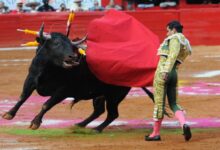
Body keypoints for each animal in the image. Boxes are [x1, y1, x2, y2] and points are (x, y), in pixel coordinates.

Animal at [1, 31, 154, 132]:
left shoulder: (62, 91)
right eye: (56, 43)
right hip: (100, 94)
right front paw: (9, 114)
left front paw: (35, 123)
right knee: (99, 111)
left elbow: (46, 104)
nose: (73, 57)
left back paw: (96, 129)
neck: (50, 69)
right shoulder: (31, 80)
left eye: (72, 46)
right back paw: (80, 124)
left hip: (115, 95)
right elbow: (23, 97)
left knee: (112, 114)